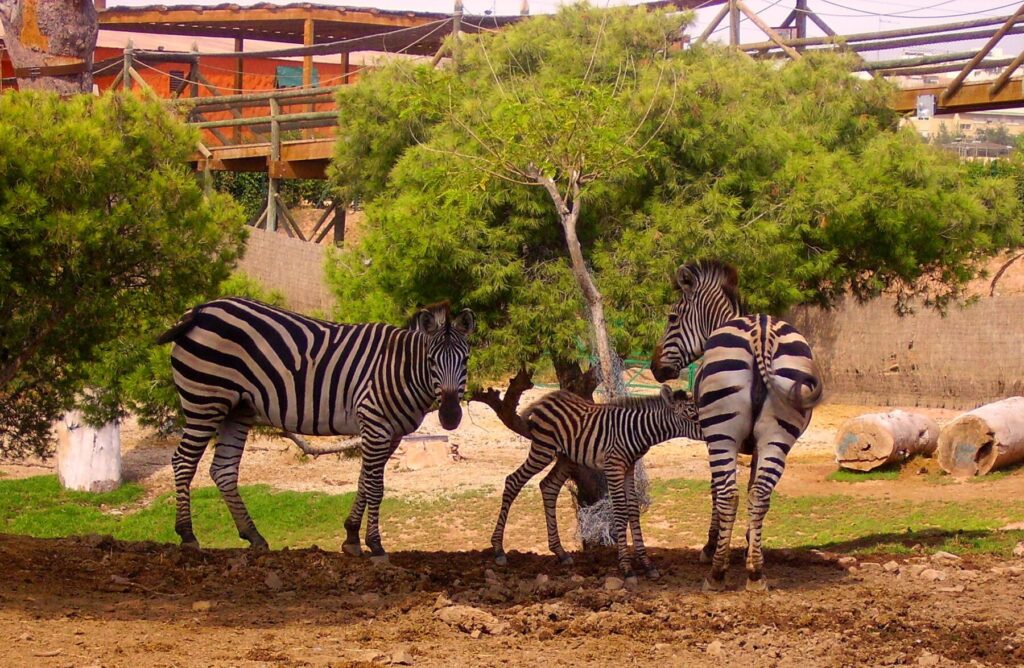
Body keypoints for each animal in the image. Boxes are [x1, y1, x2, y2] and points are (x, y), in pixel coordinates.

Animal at [157, 297, 474, 561]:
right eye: (430, 361)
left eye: (466, 360)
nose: (449, 416)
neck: (400, 369)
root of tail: (199, 310)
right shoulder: (375, 424)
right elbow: (375, 486)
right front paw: (375, 545)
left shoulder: (391, 433)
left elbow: (363, 481)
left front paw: (351, 537)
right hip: (205, 400)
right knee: (183, 461)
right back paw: (187, 536)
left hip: (236, 409)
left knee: (222, 470)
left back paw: (254, 536)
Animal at [491, 385, 701, 582]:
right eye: (693, 417)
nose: (708, 432)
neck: (637, 431)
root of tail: (546, 398)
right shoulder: (613, 466)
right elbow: (620, 510)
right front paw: (626, 567)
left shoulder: (629, 468)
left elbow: (633, 509)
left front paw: (647, 564)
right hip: (543, 449)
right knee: (513, 481)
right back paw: (499, 550)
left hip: (566, 458)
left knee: (548, 486)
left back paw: (560, 552)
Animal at [651, 260, 823, 592]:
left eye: (672, 317)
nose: (655, 369)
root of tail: (762, 331)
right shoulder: (755, 447)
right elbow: (754, 486)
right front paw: (749, 544)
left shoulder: (708, 437)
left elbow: (714, 491)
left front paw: (711, 546)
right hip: (778, 435)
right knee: (760, 494)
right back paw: (756, 572)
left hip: (722, 435)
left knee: (729, 495)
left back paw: (716, 573)